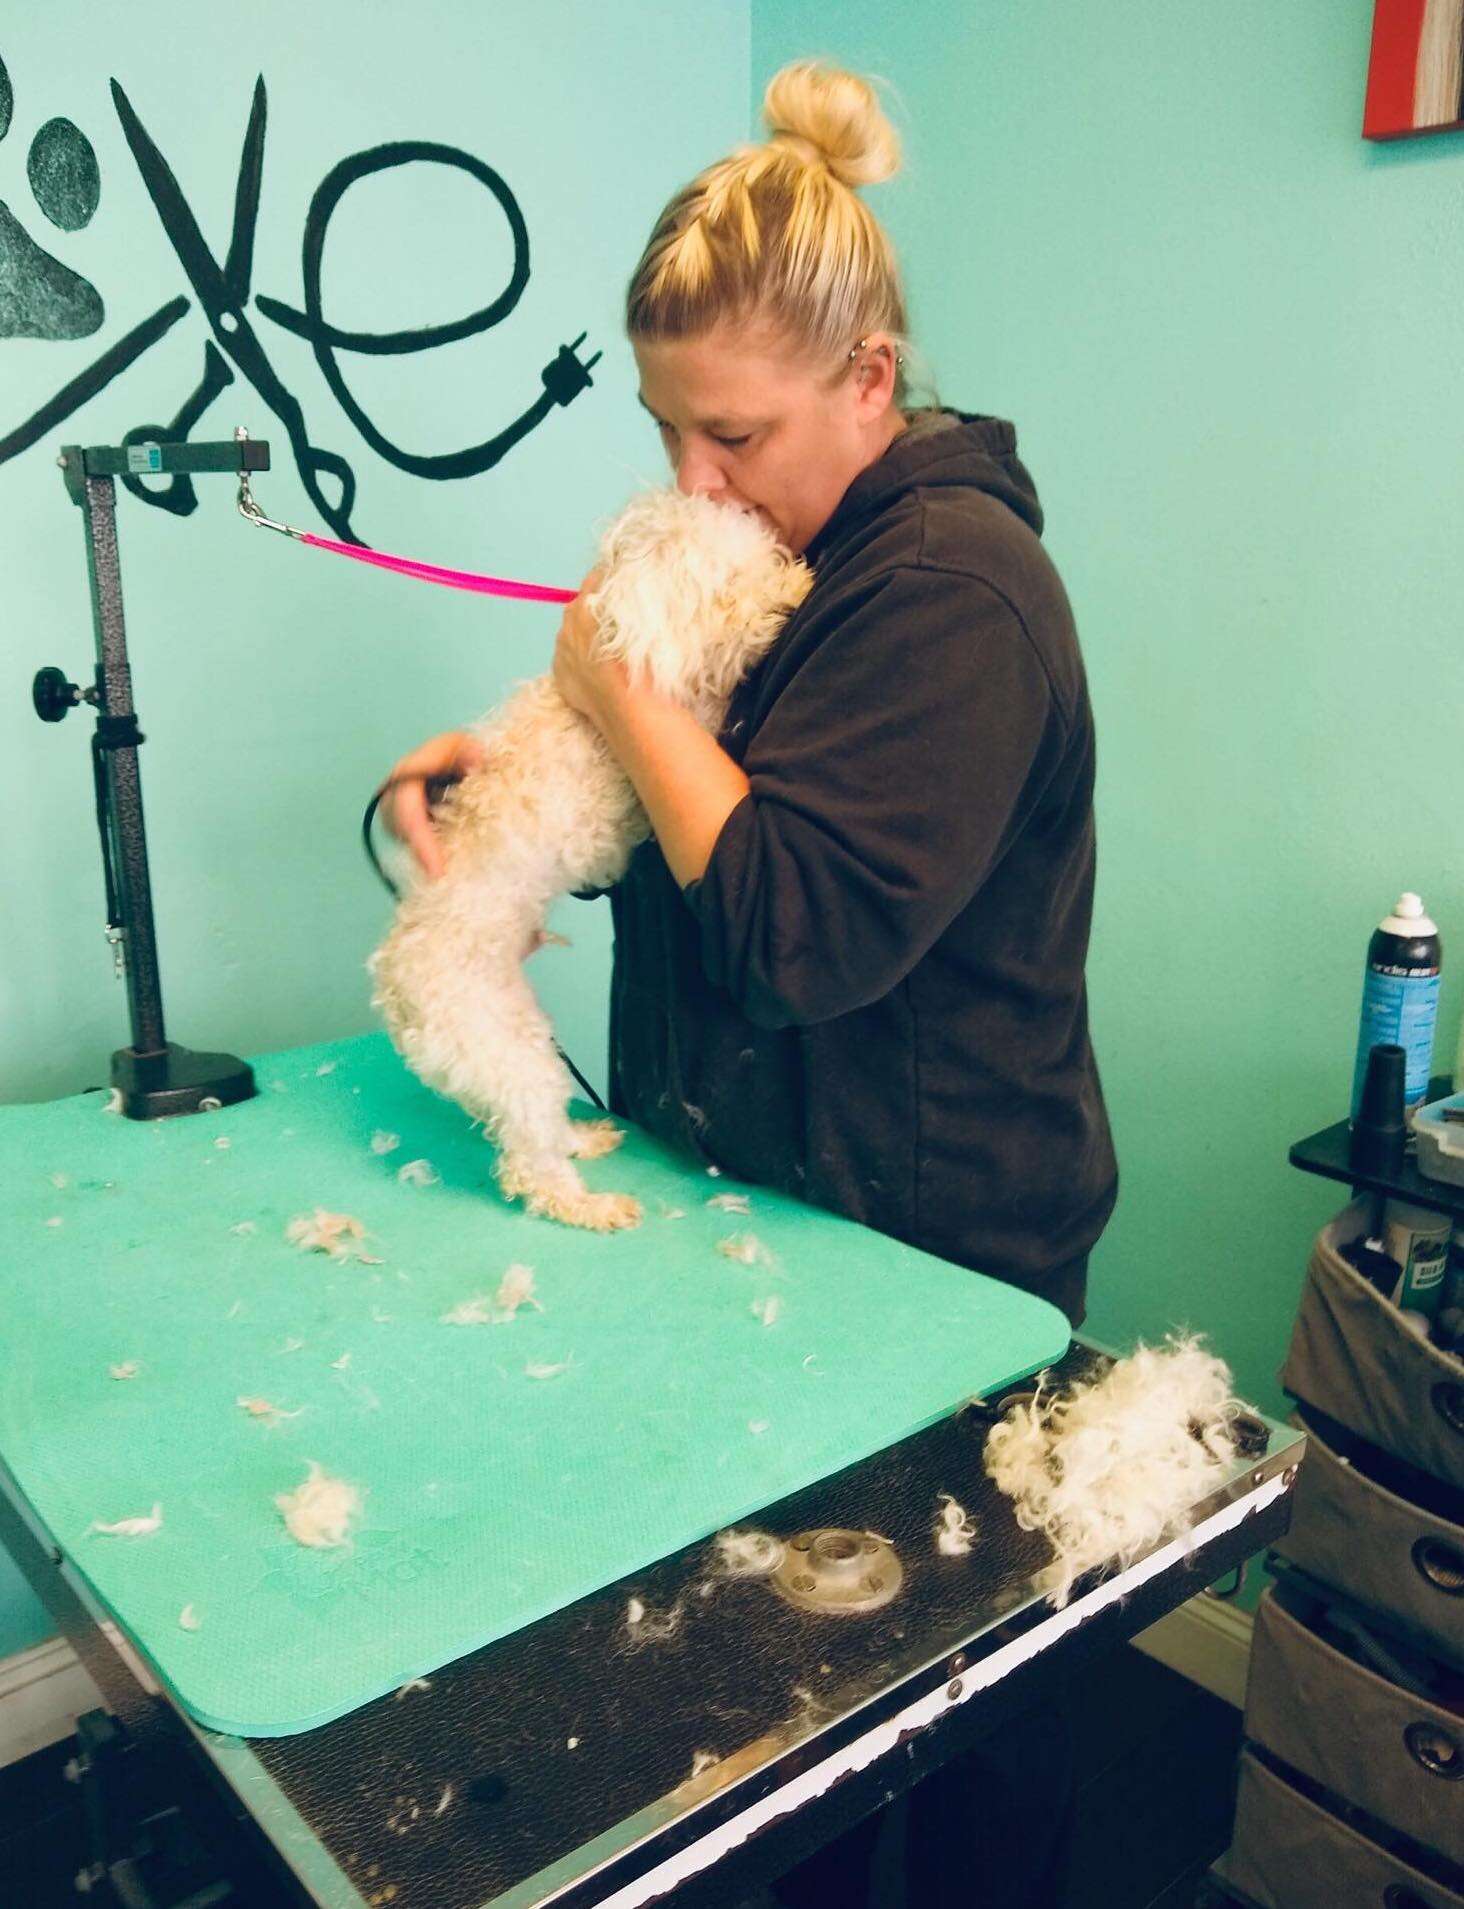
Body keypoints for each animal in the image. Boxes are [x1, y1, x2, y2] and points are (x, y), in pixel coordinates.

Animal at [364, 492, 809, 1229]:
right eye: (723, 584)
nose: (787, 575)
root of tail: (393, 990)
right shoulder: (678, 709)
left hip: (522, 1031)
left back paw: (584, 1138)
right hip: (504, 1050)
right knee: (529, 1163)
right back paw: (587, 1205)